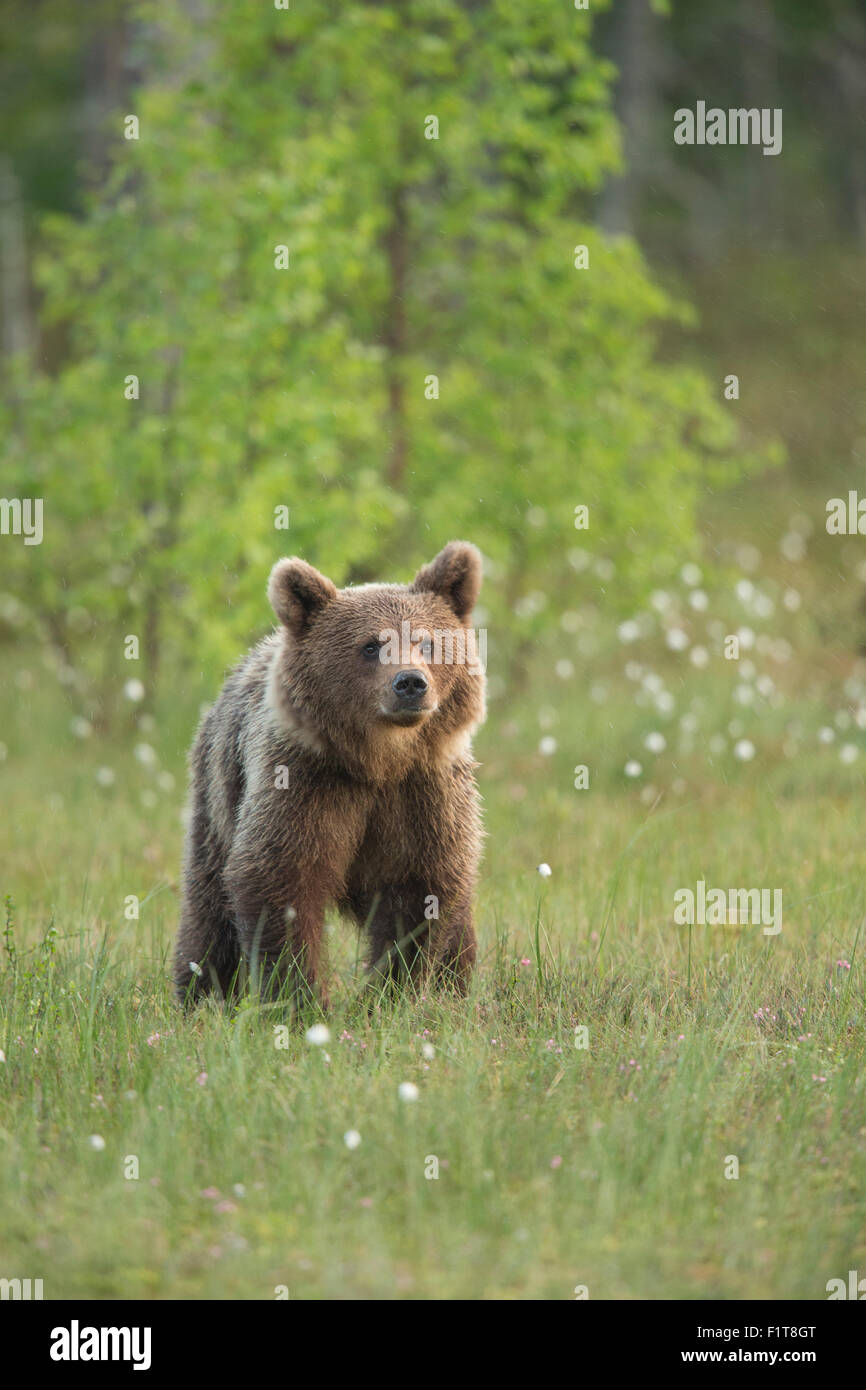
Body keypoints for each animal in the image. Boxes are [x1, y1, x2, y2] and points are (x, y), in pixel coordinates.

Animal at [173, 541, 486, 1009]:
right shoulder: (306, 780)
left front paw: (393, 993)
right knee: (207, 904)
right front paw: (299, 997)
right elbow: (280, 877)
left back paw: (455, 991)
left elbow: (420, 889)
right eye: (371, 646)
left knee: (459, 919)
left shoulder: (424, 792)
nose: (410, 683)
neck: (379, 762)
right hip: (219, 792)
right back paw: (200, 994)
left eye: (427, 642)